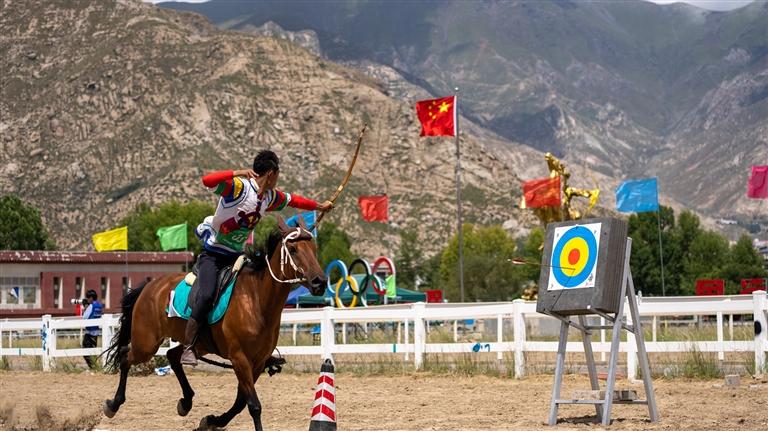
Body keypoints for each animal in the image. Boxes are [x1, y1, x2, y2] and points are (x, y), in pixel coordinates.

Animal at [101, 216, 327, 431]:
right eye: (293, 249)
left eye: (314, 249)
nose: (320, 282)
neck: (256, 300)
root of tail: (150, 286)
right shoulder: (240, 359)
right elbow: (253, 405)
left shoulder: (258, 362)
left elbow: (241, 402)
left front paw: (212, 420)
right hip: (146, 344)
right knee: (125, 357)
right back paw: (113, 404)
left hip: (197, 345)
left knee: (172, 355)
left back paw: (186, 401)